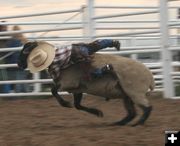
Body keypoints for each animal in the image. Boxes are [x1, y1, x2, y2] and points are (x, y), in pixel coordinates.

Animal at [17, 40, 154, 126]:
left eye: (25, 52)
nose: (19, 64)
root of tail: (150, 76)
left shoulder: (68, 83)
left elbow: (53, 90)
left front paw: (66, 103)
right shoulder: (78, 89)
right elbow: (77, 105)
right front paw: (97, 112)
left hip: (135, 92)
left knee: (147, 108)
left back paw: (138, 123)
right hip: (127, 94)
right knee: (132, 113)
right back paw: (119, 123)